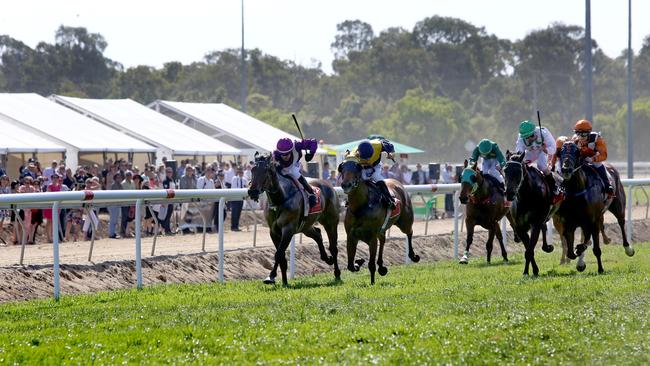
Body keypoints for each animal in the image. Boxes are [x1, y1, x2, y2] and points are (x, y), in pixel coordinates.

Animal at [247, 153, 342, 284]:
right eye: (252, 169)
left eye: (265, 170)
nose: (253, 191)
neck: (281, 198)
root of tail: (329, 185)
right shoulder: (273, 231)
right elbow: (281, 257)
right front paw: (284, 282)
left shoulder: (288, 229)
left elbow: (279, 254)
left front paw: (271, 276)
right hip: (306, 226)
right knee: (317, 234)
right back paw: (327, 258)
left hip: (330, 222)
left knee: (333, 247)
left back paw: (337, 273)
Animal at [334, 156, 420, 284]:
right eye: (342, 169)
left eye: (357, 169)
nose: (346, 184)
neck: (361, 207)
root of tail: (398, 183)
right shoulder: (351, 236)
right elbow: (350, 265)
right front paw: (358, 262)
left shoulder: (371, 237)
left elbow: (371, 264)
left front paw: (372, 282)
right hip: (382, 229)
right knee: (383, 240)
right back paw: (382, 267)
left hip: (405, 222)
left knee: (409, 232)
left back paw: (413, 256)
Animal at [552, 142, 632, 274]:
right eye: (560, 153)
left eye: (577, 152)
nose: (566, 169)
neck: (578, 192)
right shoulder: (569, 223)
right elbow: (571, 251)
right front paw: (579, 258)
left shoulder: (592, 220)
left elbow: (595, 248)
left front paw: (600, 269)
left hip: (618, 206)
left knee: (621, 222)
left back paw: (628, 248)